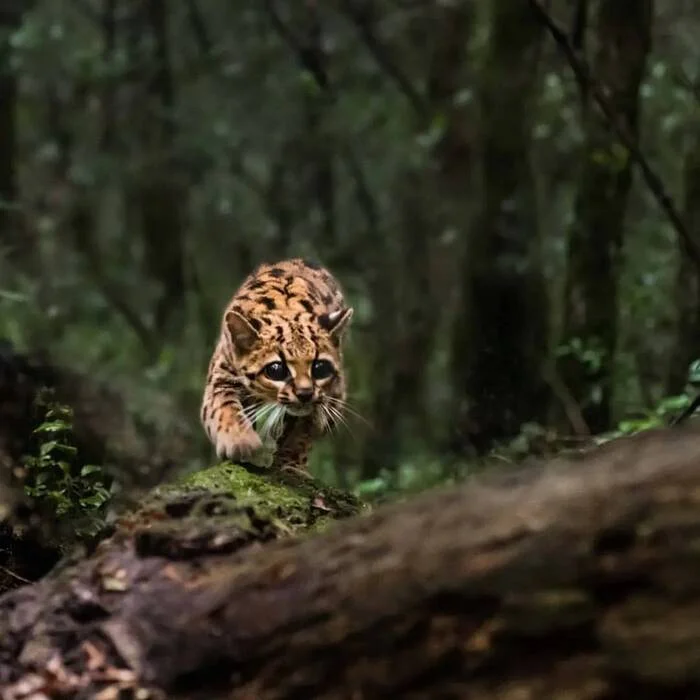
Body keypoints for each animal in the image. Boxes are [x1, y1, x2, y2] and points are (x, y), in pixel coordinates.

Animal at [202, 260, 356, 474]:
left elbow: (302, 431)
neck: (285, 310)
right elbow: (223, 407)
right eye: (276, 370)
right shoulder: (221, 375)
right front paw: (241, 441)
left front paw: (290, 462)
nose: (305, 393)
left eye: (320, 367)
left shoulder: (327, 398)